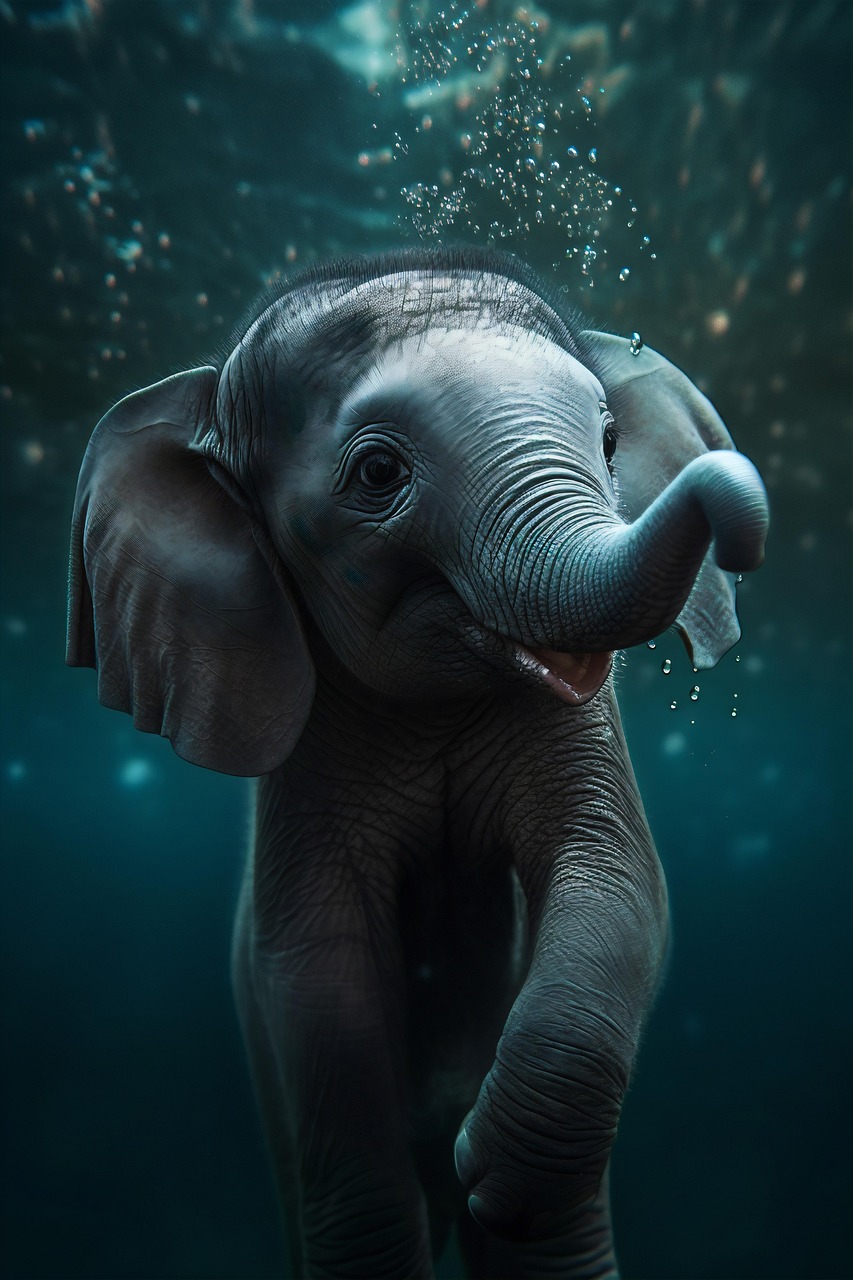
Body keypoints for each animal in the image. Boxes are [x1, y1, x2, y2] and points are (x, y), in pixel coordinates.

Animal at [67, 246, 768, 1279]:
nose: (743, 515)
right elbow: (315, 968)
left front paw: (493, 1173)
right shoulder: (309, 763)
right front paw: (467, 1161)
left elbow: (617, 880)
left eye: (607, 440)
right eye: (378, 472)